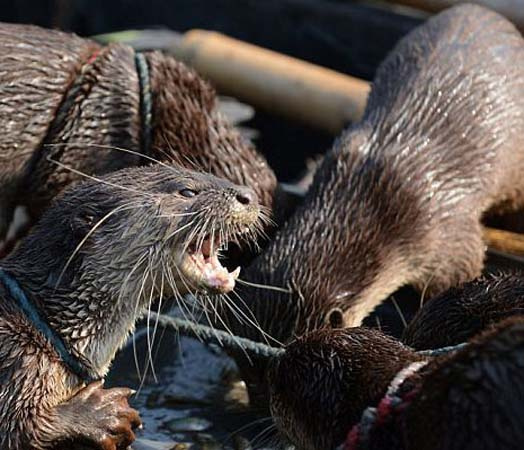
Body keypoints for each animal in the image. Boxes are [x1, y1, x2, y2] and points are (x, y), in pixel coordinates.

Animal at [0, 163, 260, 450]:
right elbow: (23, 429)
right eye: (187, 191)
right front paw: (101, 414)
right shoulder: (17, 364)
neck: (44, 328)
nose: (249, 195)